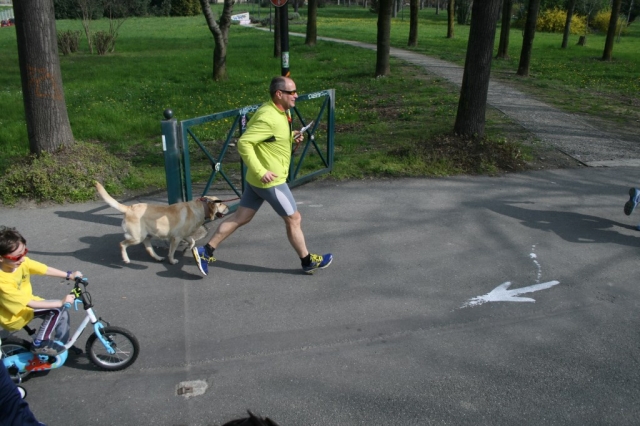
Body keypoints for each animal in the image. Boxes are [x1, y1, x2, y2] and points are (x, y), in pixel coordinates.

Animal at [93, 182, 228, 262]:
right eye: (220, 203)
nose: (227, 207)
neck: (200, 208)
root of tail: (128, 208)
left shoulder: (184, 235)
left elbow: (193, 240)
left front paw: (190, 247)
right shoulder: (176, 238)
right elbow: (171, 252)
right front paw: (172, 261)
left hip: (147, 235)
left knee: (148, 247)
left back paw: (157, 257)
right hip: (137, 237)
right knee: (122, 244)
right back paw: (126, 259)